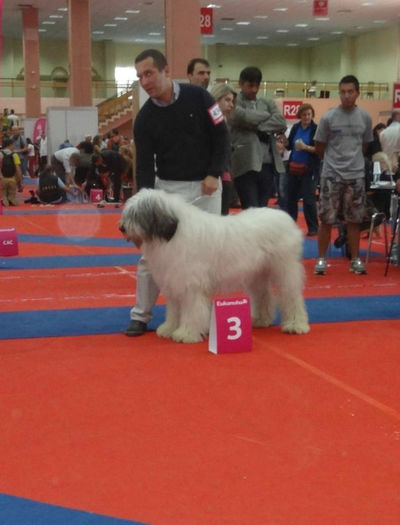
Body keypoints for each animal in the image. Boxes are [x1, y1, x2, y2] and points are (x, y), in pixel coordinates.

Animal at [119, 189, 310, 344]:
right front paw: (169, 328)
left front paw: (186, 334)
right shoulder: (175, 282)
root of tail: (284, 216)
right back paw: (261, 320)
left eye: (136, 214)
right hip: (257, 274)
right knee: (263, 295)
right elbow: (174, 310)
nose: (121, 228)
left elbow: (192, 311)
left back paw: (296, 325)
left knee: (291, 297)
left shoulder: (191, 286)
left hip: (285, 269)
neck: (173, 234)